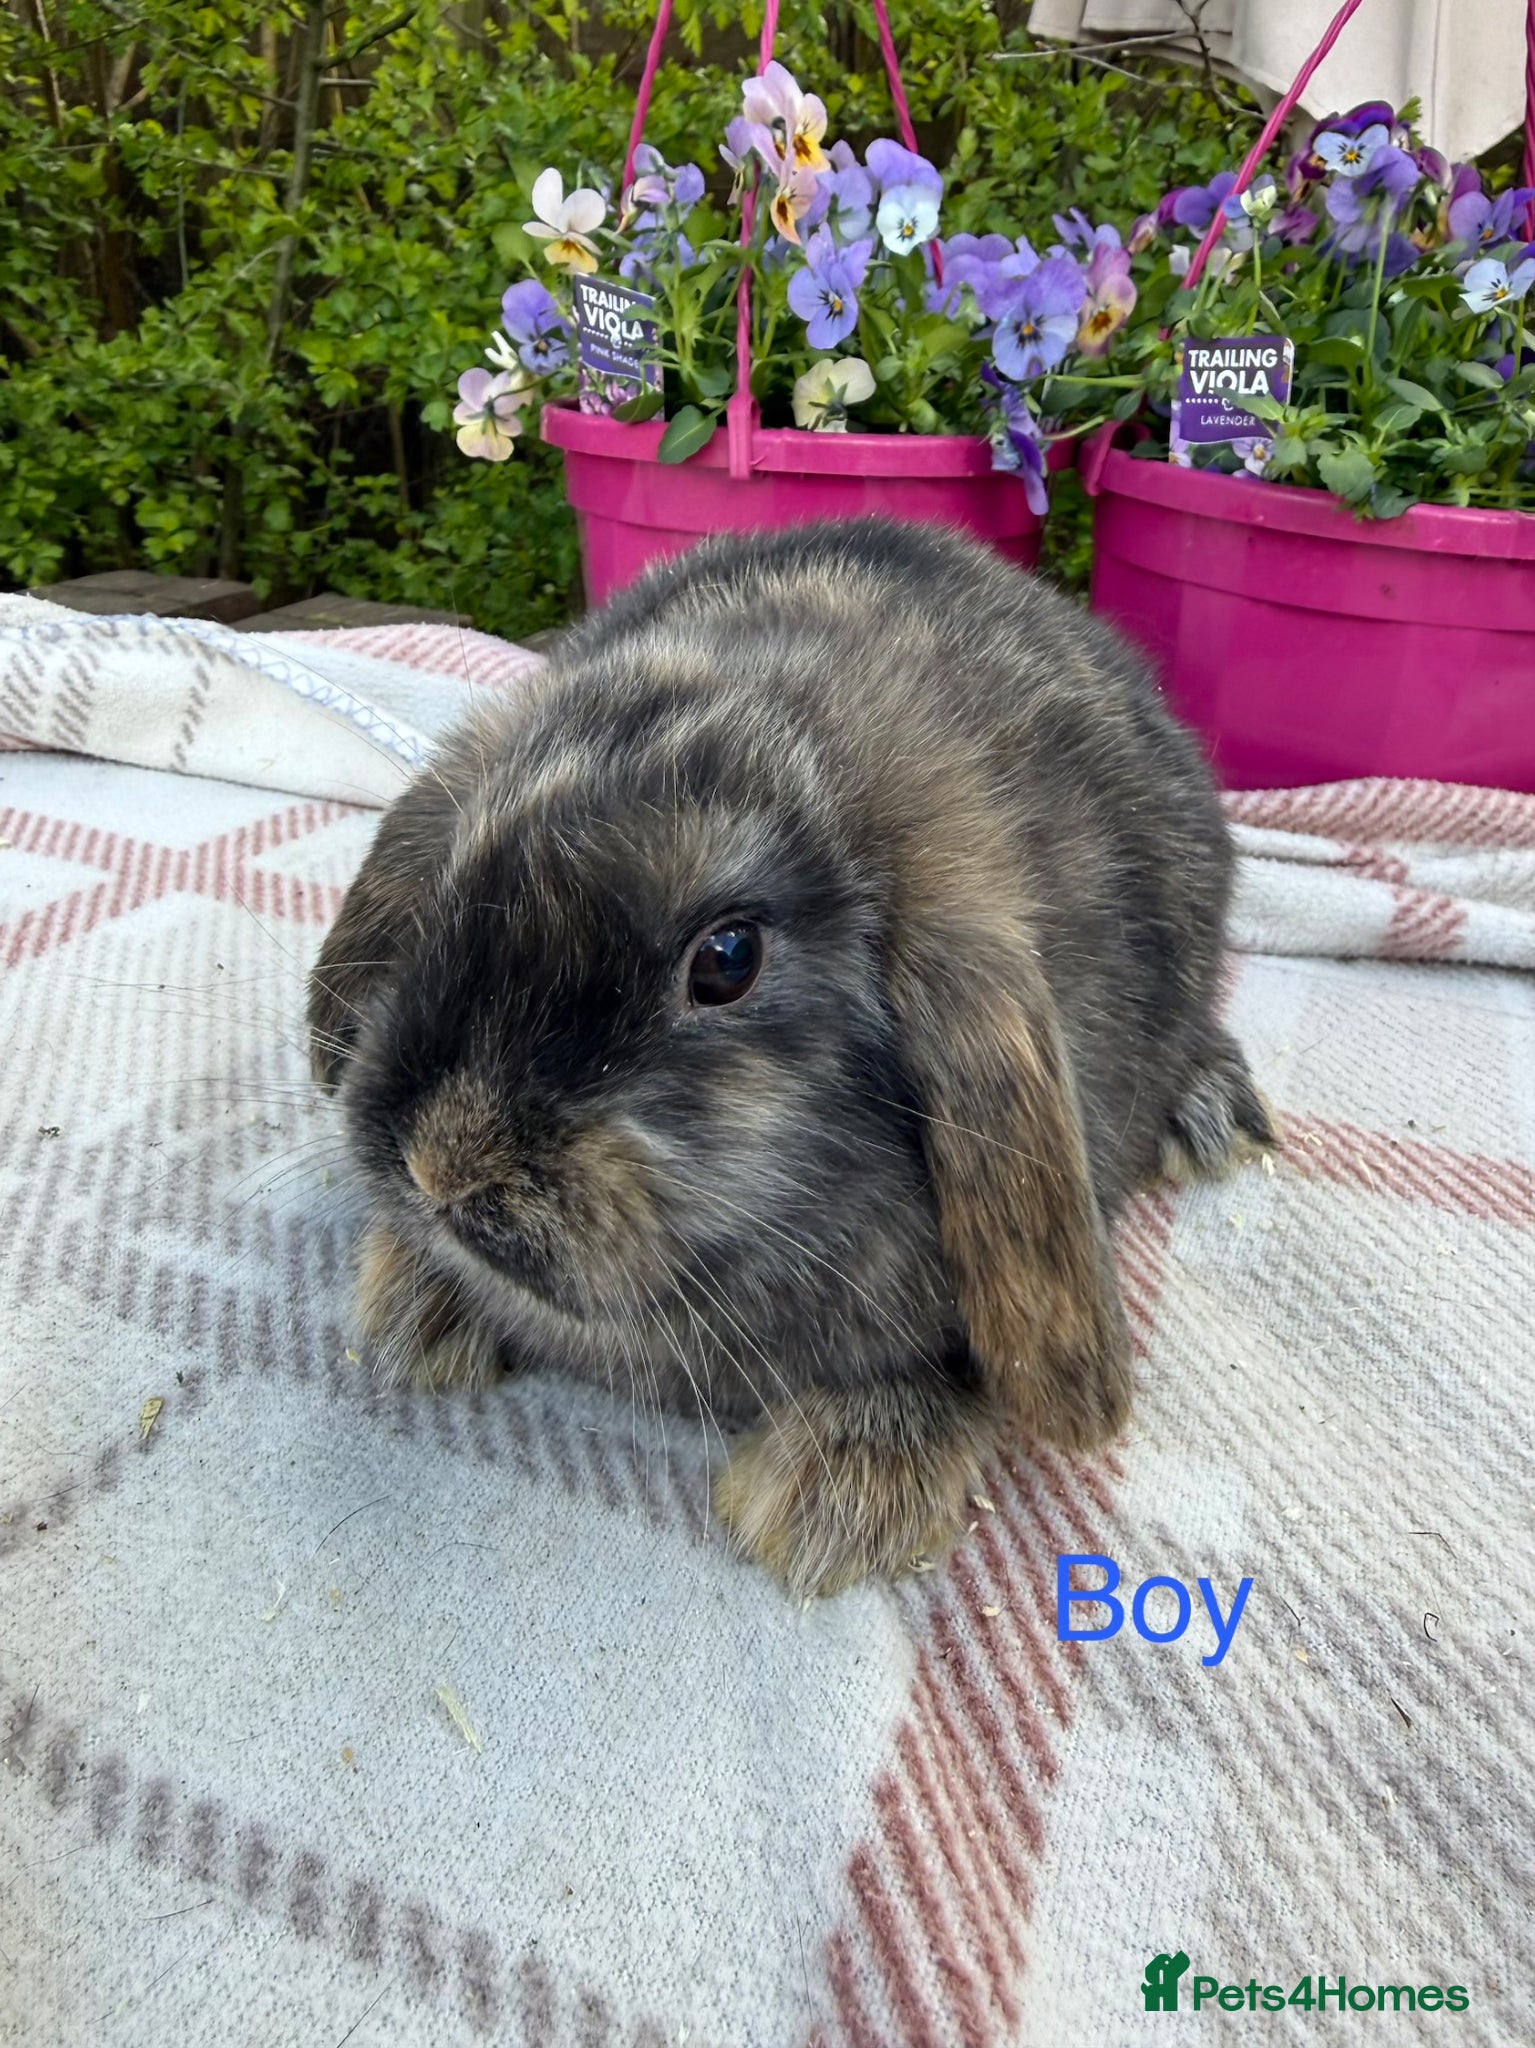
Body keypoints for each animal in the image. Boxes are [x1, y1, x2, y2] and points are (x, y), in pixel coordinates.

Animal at [308, 517, 1274, 1598]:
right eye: (452, 879)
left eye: (727, 959)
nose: (442, 1165)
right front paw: (416, 1305)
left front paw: (836, 1494)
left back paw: (1210, 1114)